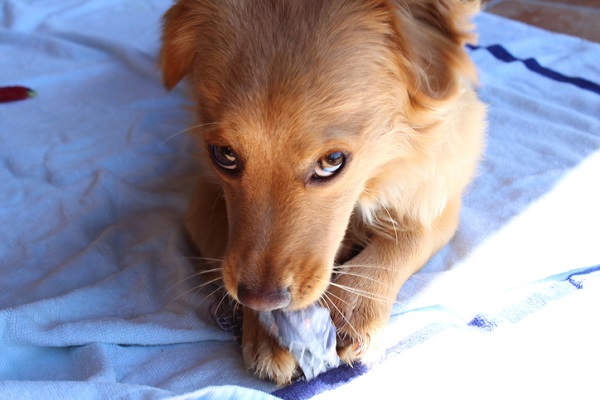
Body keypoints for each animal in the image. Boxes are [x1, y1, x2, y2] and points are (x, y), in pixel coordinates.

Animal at [162, 0, 486, 386]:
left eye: (332, 162)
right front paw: (267, 330)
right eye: (223, 154)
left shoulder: (437, 195)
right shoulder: (201, 199)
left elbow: (403, 241)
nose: (262, 301)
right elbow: (228, 259)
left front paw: (354, 312)